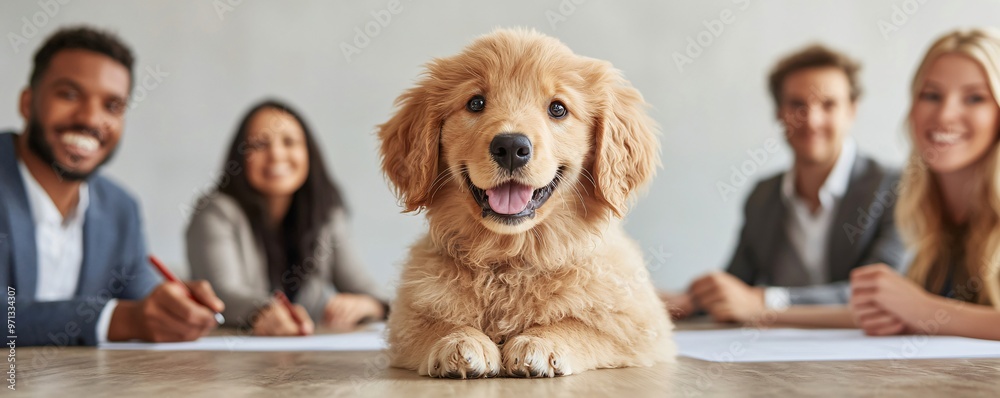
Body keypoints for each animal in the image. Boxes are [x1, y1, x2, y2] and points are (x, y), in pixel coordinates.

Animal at [378, 28, 676, 380]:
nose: (510, 146)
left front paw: (538, 342)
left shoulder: (641, 328)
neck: (513, 256)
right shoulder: (406, 322)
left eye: (558, 109)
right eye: (475, 103)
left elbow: (582, 324)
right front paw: (460, 341)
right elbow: (436, 324)